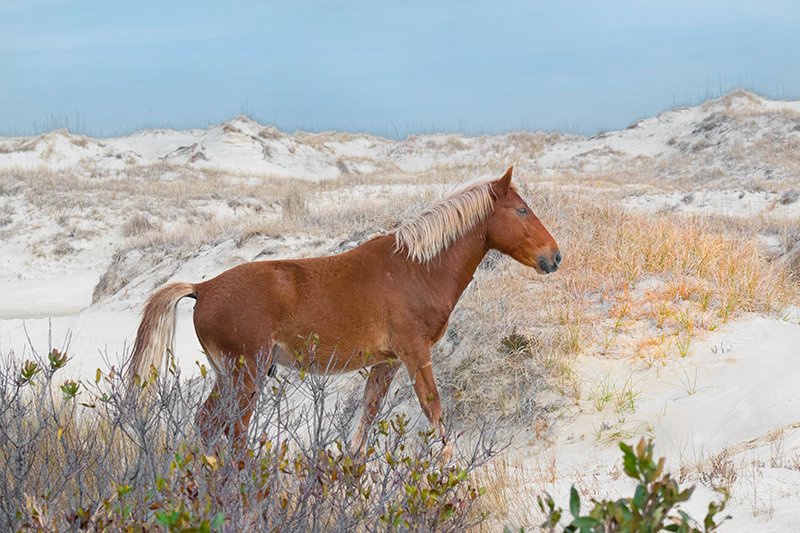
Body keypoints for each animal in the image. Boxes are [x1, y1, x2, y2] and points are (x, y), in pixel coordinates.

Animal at [128, 167, 560, 458]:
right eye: (521, 210)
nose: (554, 256)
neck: (417, 269)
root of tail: (202, 289)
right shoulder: (416, 354)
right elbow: (433, 410)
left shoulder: (387, 363)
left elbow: (366, 420)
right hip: (245, 376)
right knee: (231, 432)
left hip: (229, 376)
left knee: (207, 425)